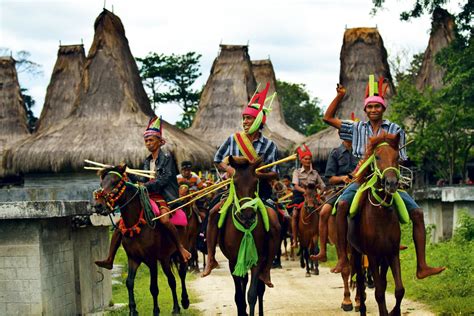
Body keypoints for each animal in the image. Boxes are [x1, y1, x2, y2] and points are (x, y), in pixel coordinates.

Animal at [92, 164, 189, 314]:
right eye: (102, 184)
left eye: (115, 182)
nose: (98, 205)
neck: (137, 224)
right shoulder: (133, 258)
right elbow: (129, 283)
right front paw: (133, 310)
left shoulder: (152, 260)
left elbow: (153, 287)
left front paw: (156, 311)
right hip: (165, 258)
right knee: (172, 280)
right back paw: (176, 308)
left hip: (178, 251)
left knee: (182, 273)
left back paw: (184, 301)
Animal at [218, 156, 274, 316]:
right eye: (235, 183)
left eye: (256, 183)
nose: (248, 215)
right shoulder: (233, 261)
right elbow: (239, 297)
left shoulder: (258, 260)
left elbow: (252, 294)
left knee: (260, 289)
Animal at [346, 134, 406, 316]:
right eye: (377, 157)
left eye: (397, 157)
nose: (391, 183)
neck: (381, 214)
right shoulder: (371, 255)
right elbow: (379, 292)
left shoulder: (392, 252)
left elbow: (399, 290)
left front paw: (394, 312)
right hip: (356, 252)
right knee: (360, 282)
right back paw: (361, 309)